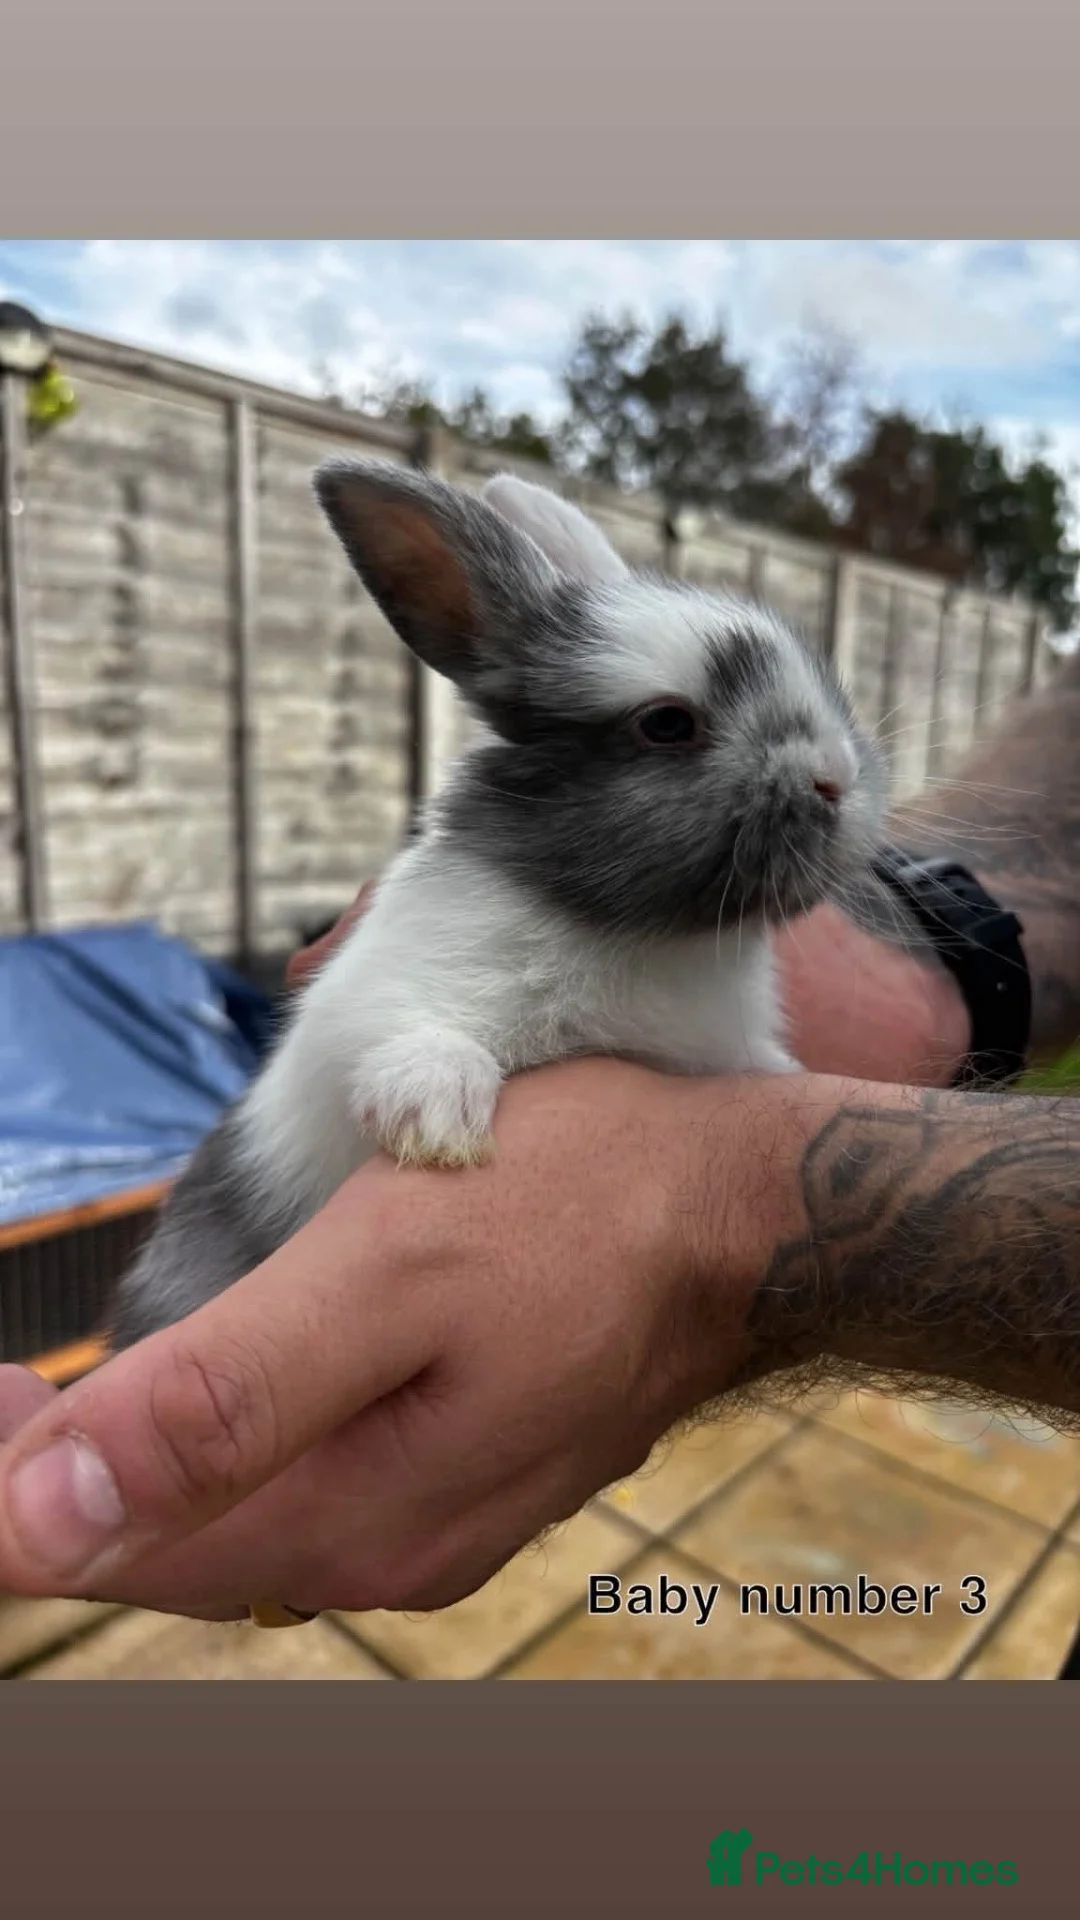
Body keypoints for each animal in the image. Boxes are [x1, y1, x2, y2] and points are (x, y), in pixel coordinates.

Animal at [105, 458, 887, 1350]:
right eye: (666, 723)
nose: (836, 778)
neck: (633, 933)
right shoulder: (364, 1011)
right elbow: (413, 1038)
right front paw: (436, 1116)